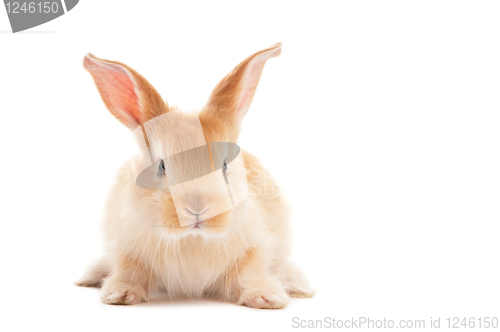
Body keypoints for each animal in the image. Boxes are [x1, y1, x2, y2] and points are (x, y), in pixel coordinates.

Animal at [74, 42, 314, 308]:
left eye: (225, 165)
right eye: (161, 166)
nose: (197, 209)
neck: (192, 239)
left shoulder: (254, 247)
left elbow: (251, 272)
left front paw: (267, 298)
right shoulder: (127, 248)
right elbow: (130, 271)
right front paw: (120, 294)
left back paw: (298, 284)